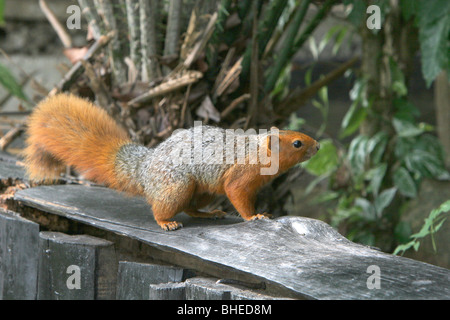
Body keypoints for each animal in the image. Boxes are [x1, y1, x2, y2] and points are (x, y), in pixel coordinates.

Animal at [22, 92, 320, 230]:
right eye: (297, 143)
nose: (317, 146)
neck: (257, 151)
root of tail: (143, 170)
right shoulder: (241, 174)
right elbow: (237, 194)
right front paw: (255, 215)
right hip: (176, 186)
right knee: (163, 208)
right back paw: (166, 222)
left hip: (201, 190)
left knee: (190, 208)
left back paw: (207, 213)